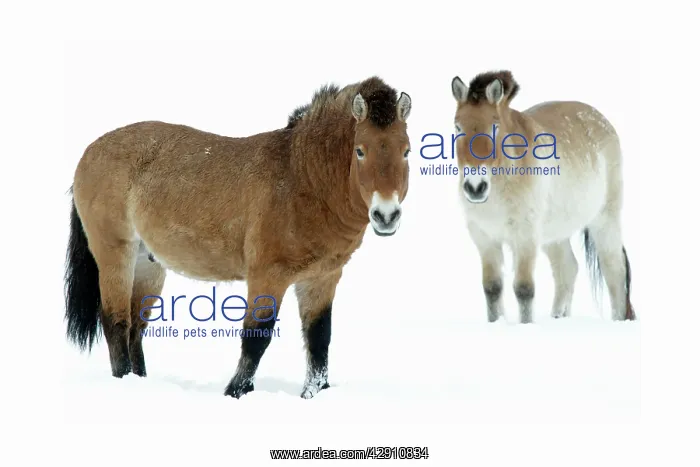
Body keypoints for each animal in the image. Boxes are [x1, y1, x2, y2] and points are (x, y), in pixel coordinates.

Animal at [64, 76, 413, 399]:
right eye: (360, 150)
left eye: (406, 151)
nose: (386, 215)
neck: (301, 179)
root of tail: (90, 152)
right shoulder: (267, 276)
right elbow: (257, 338)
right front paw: (237, 391)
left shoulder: (321, 279)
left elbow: (319, 340)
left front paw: (315, 392)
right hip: (115, 254)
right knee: (116, 322)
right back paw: (124, 381)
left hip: (148, 264)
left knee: (136, 328)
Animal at [450, 70, 635, 324]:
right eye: (458, 127)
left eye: (494, 127)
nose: (475, 187)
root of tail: (600, 120)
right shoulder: (484, 238)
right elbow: (492, 288)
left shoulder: (525, 237)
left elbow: (524, 289)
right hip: (554, 234)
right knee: (567, 269)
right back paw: (558, 317)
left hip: (605, 220)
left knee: (615, 272)